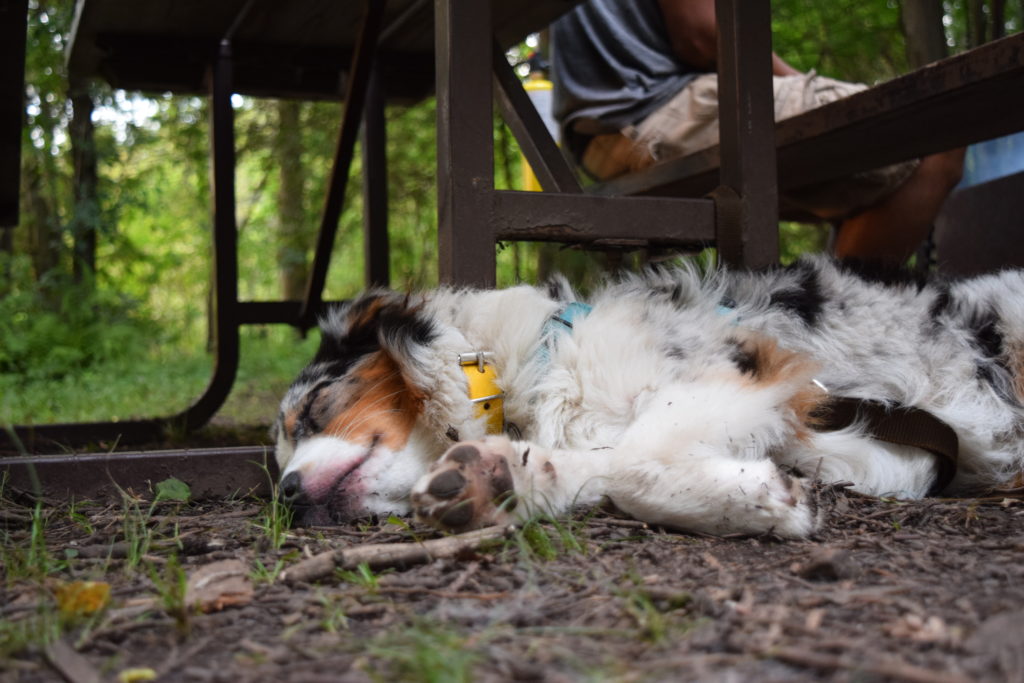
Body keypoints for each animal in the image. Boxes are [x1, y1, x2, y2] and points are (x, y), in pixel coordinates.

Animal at [272, 258, 1024, 540]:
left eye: (313, 410)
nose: (284, 492)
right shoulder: (880, 445)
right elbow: (609, 463)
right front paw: (503, 477)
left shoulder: (745, 370)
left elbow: (635, 464)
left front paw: (767, 504)